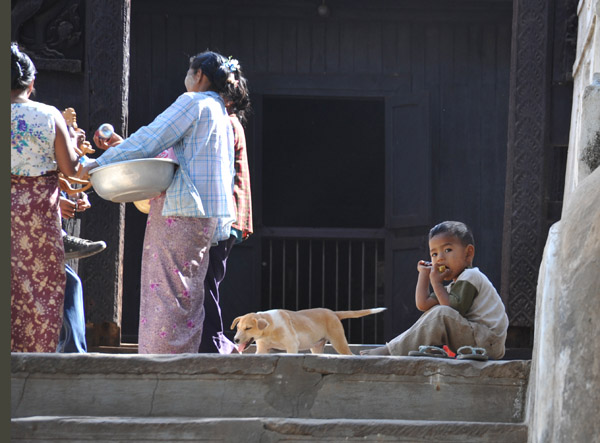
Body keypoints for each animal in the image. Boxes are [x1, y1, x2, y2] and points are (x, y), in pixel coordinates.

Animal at [230, 306, 384, 356]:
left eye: (248, 328)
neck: (271, 327)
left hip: (338, 341)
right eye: (237, 328)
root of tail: (333, 313)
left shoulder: (292, 345)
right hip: (316, 347)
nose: (235, 340)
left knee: (350, 354)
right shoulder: (262, 349)